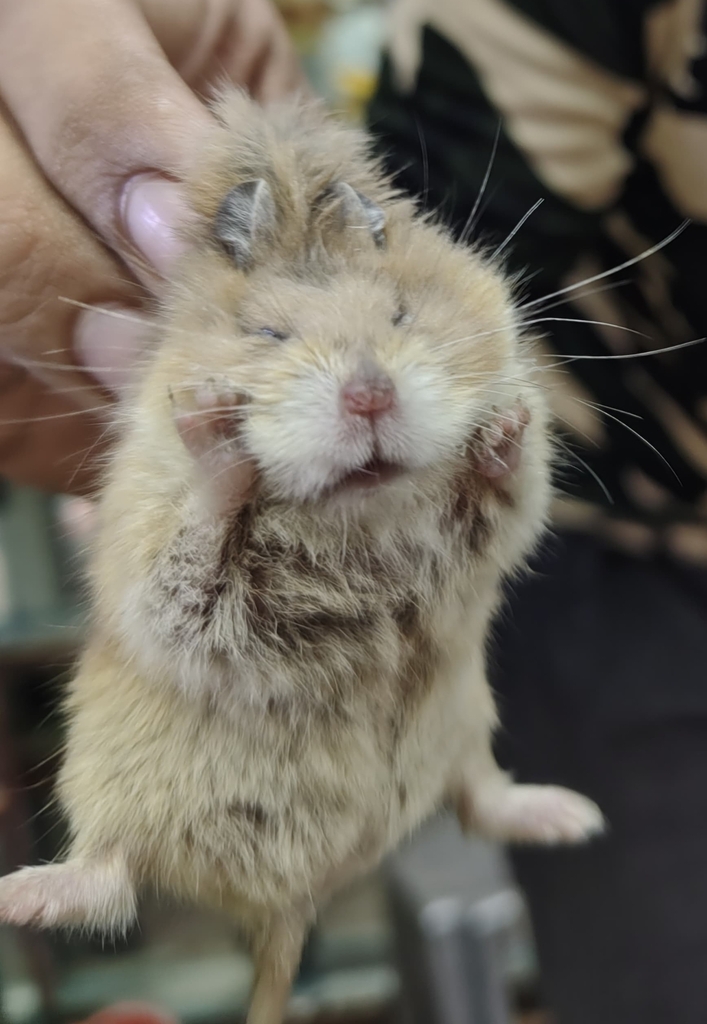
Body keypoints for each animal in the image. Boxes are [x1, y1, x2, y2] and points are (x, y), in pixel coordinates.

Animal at [0, 91, 604, 1024]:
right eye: (267, 332)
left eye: (398, 314)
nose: (369, 394)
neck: (359, 518)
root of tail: (294, 902)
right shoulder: (158, 563)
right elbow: (199, 543)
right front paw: (213, 431)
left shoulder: (490, 534)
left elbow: (509, 493)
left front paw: (503, 427)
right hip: (109, 781)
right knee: (109, 875)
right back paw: (18, 894)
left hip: (464, 724)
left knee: (480, 799)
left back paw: (571, 815)